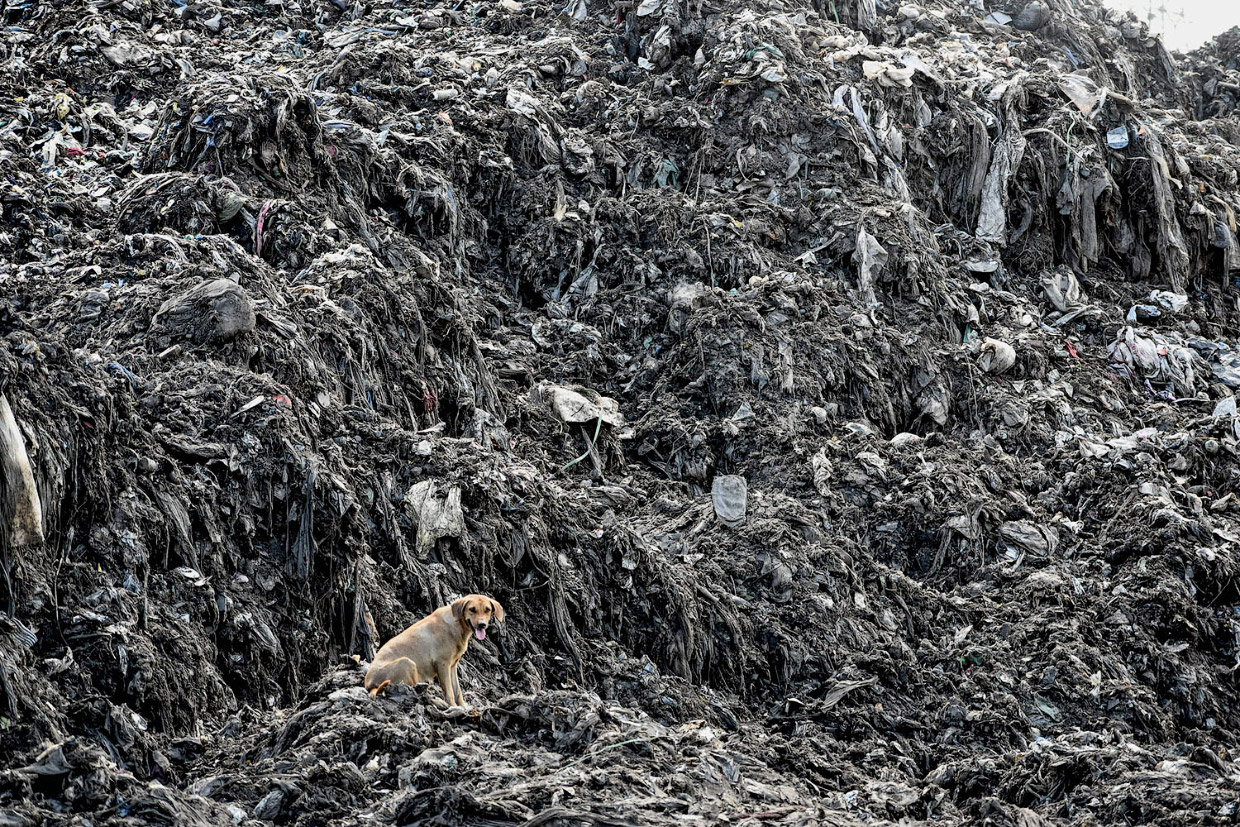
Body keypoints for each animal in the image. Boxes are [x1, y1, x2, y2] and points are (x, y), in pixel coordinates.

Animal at [362, 592, 503, 709]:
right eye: (472, 609)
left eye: (487, 610)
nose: (482, 625)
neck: (457, 625)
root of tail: (369, 684)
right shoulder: (442, 665)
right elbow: (449, 692)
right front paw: (453, 707)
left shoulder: (452, 666)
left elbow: (457, 691)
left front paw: (463, 707)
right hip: (407, 663)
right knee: (415, 690)